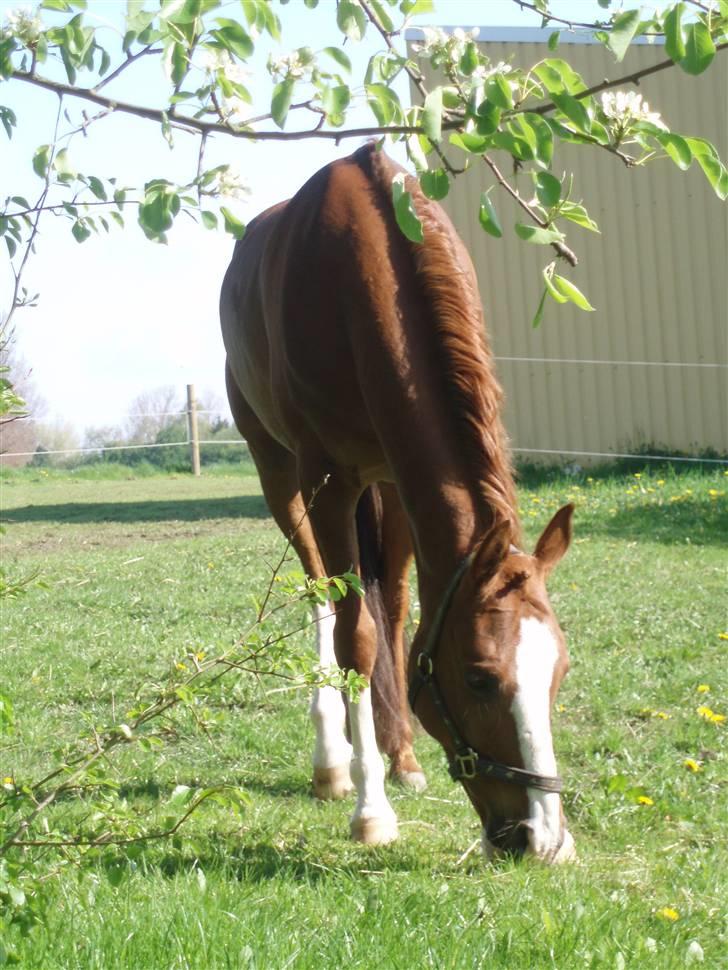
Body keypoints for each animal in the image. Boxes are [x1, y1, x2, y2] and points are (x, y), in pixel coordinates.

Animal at [220, 140, 576, 860]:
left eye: (559, 672)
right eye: (478, 677)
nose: (543, 838)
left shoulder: (399, 481)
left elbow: (395, 616)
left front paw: (397, 761)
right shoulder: (327, 480)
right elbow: (352, 635)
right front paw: (371, 809)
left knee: (383, 603)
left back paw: (398, 754)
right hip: (280, 475)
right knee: (320, 595)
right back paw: (334, 762)